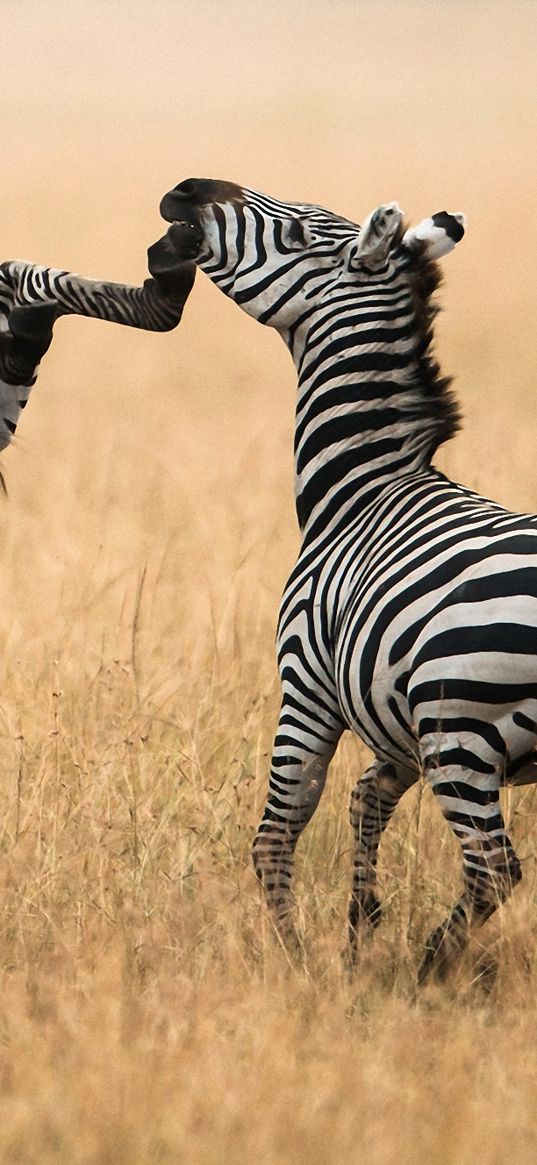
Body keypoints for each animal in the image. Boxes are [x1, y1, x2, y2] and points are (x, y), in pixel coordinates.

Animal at [148, 177, 535, 983]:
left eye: (297, 234)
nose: (185, 190)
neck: (360, 489)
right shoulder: (395, 719)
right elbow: (365, 801)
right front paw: (360, 928)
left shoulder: (310, 681)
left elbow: (279, 825)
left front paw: (295, 960)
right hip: (451, 735)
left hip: (460, 731)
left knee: (492, 867)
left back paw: (428, 968)